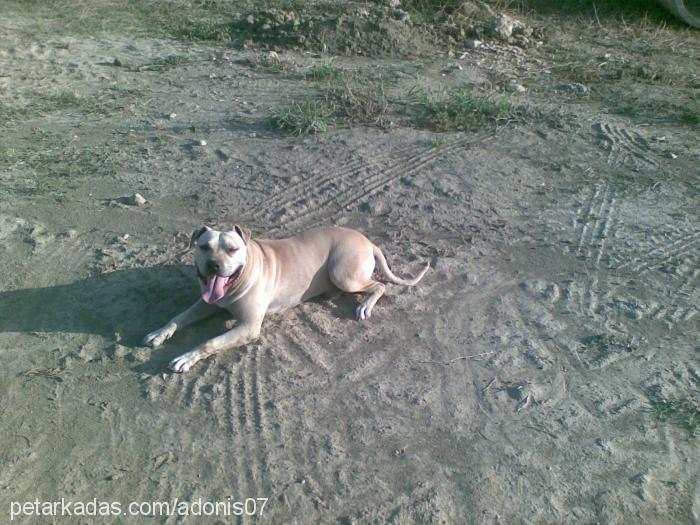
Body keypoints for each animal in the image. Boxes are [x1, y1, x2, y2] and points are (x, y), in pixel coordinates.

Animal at [144, 225, 430, 372]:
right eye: (204, 247)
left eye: (232, 249)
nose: (213, 265)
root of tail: (368, 241)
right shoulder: (206, 303)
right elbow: (178, 317)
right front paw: (158, 332)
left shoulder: (249, 327)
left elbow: (210, 342)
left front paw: (186, 357)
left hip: (344, 274)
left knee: (379, 286)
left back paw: (364, 306)